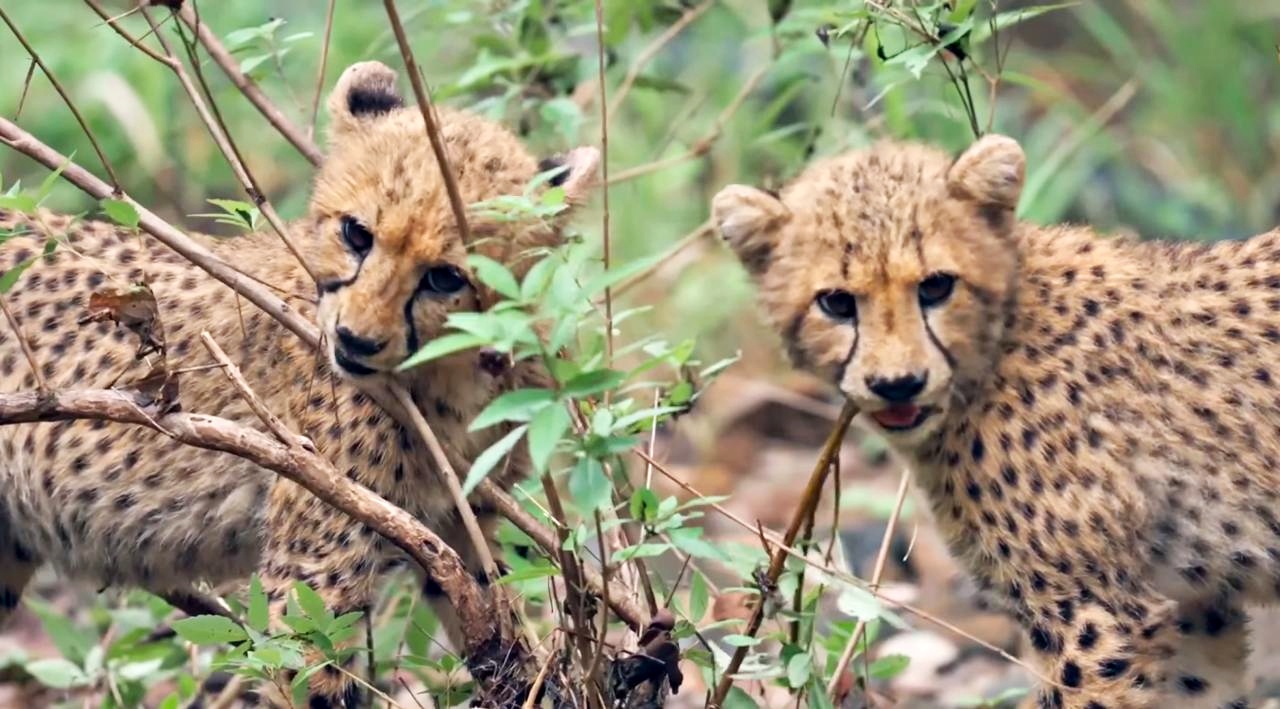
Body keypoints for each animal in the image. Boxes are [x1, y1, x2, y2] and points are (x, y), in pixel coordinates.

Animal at [0, 60, 599, 707]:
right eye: (357, 233)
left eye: (445, 277)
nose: (356, 339)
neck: (453, 371)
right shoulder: (315, 567)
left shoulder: (456, 528)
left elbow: (500, 626)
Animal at [712, 133, 1280, 709]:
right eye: (835, 302)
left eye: (936, 286)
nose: (898, 384)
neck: (1001, 336)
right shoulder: (1190, 609)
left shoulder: (1096, 614)